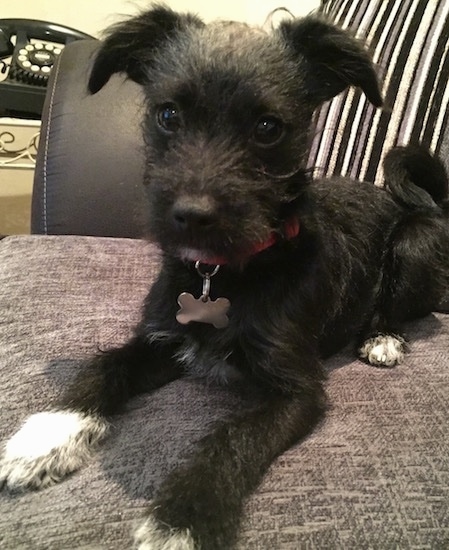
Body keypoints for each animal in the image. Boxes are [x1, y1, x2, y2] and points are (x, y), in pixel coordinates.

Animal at [0, 5, 448, 550]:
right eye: (168, 115)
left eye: (268, 127)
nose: (192, 215)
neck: (221, 273)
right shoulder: (162, 339)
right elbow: (105, 365)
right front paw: (49, 433)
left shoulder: (297, 389)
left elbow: (232, 438)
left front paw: (182, 521)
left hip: (414, 243)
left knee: (397, 306)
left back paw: (383, 338)